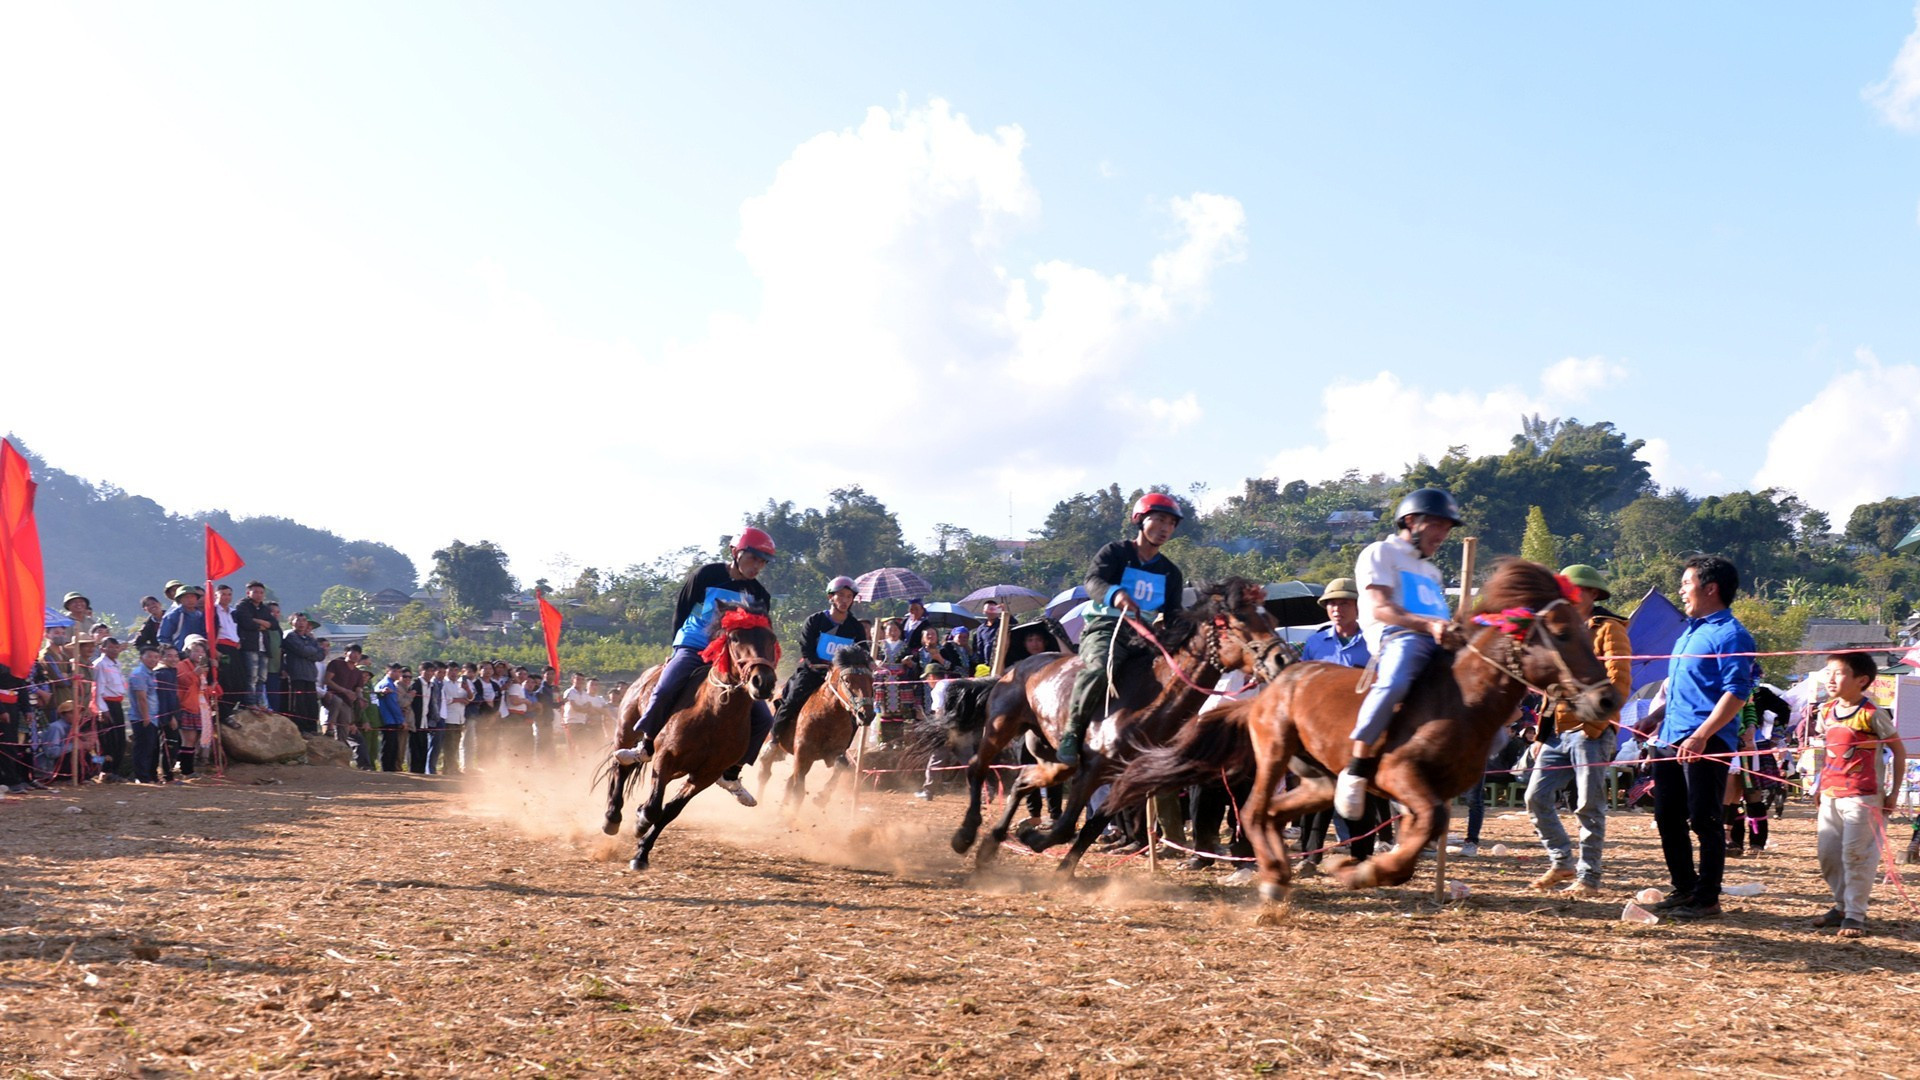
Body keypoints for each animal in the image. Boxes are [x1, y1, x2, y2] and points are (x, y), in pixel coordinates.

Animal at [598, 604, 780, 871]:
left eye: (771, 639)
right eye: (735, 638)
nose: (763, 682)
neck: (714, 715)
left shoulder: (705, 775)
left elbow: (669, 811)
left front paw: (642, 853)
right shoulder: (665, 758)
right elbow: (653, 808)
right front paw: (640, 823)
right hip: (626, 732)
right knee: (621, 768)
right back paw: (612, 818)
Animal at [757, 646, 877, 808]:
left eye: (871, 680)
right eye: (847, 680)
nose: (866, 715)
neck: (828, 716)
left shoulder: (834, 752)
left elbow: (841, 765)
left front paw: (822, 797)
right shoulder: (803, 753)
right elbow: (798, 791)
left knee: (788, 782)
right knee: (764, 773)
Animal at [946, 577, 1289, 879]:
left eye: (1272, 618)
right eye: (1240, 620)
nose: (1282, 659)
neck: (1147, 700)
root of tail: (1015, 668)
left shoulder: (1128, 780)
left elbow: (1090, 826)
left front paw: (1061, 868)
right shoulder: (1092, 770)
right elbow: (1068, 825)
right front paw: (1036, 840)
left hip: (1055, 759)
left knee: (1021, 782)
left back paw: (991, 844)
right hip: (1002, 725)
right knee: (977, 767)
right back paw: (965, 835)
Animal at [1107, 559, 1623, 901]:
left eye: (1586, 628)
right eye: (1560, 632)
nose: (1606, 700)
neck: (1461, 699)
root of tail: (1276, 681)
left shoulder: (1430, 792)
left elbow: (1424, 829)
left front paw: (1354, 865)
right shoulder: (1398, 776)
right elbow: (1429, 822)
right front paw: (1360, 872)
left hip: (1318, 778)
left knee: (1275, 812)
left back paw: (1284, 868)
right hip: (1274, 753)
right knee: (1254, 810)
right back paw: (1273, 876)